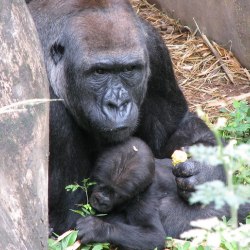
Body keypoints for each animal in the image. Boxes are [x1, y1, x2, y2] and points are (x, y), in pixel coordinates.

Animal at [26, 0, 223, 234]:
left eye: (130, 69)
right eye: (99, 72)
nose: (118, 104)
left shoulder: (155, 50)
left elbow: (174, 131)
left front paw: (203, 170)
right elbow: (70, 217)